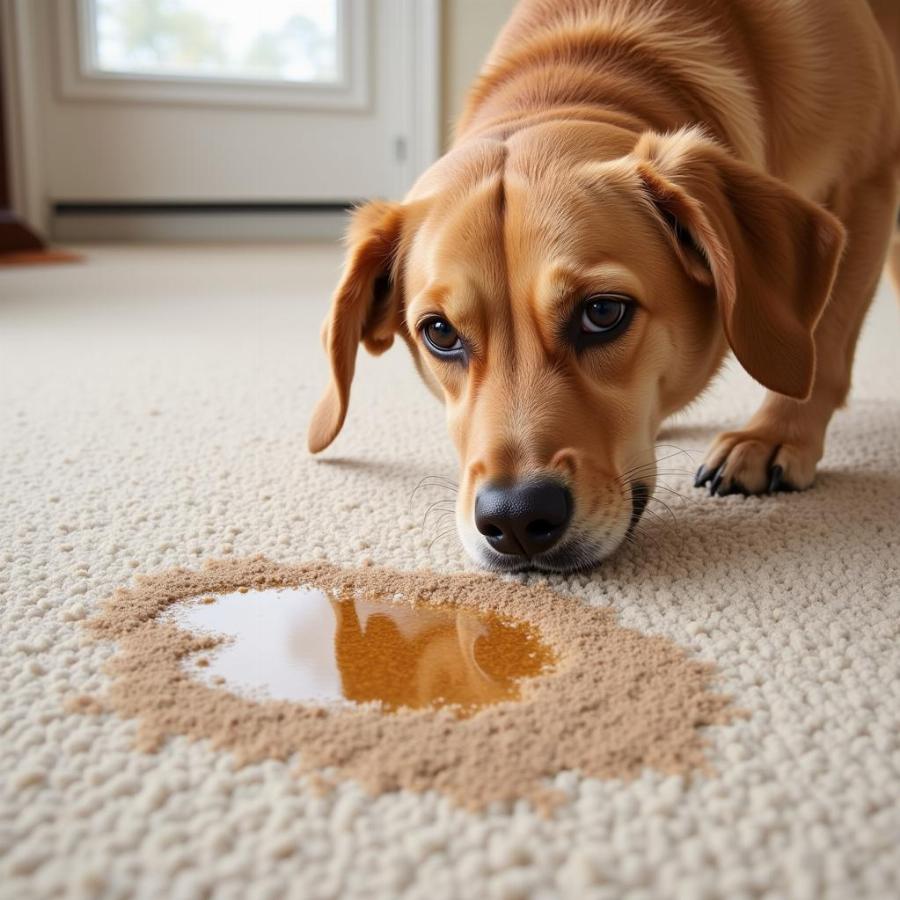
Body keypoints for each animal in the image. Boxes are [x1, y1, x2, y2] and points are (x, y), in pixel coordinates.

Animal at [308, 0, 900, 572]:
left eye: (602, 313)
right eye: (440, 333)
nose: (515, 520)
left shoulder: (866, 184)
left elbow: (824, 342)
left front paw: (776, 434)